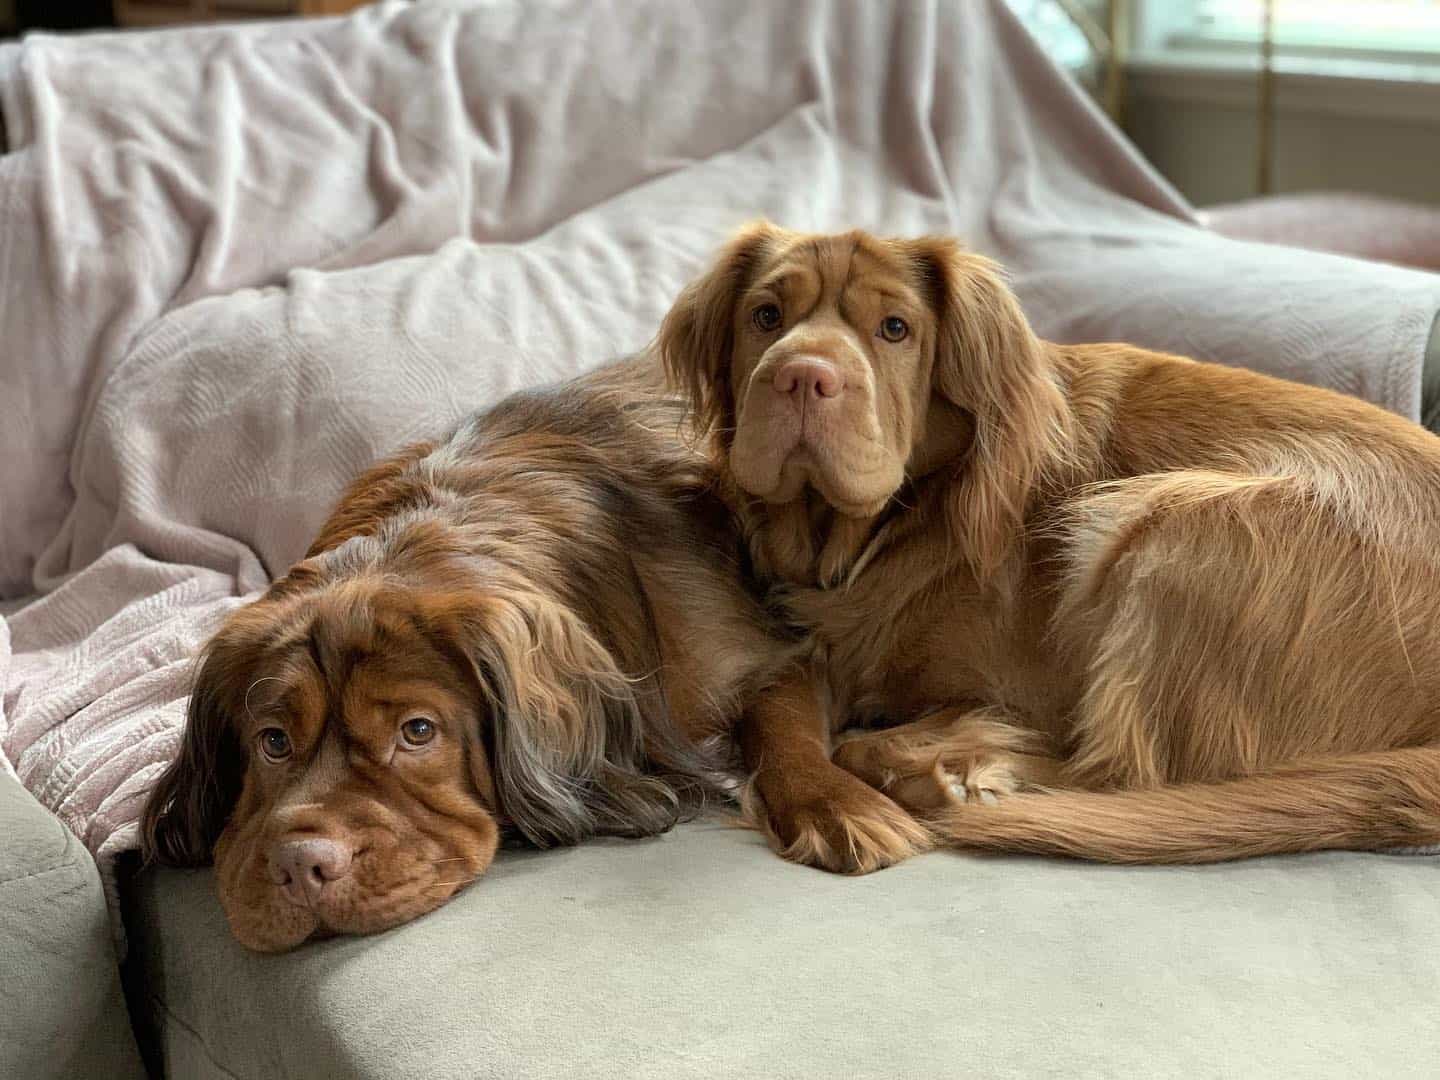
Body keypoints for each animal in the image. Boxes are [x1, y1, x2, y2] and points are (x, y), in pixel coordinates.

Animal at [143, 360, 921, 950]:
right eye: (272, 741)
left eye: (417, 732)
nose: (302, 866)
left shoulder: (777, 650)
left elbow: (781, 726)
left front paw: (837, 804)